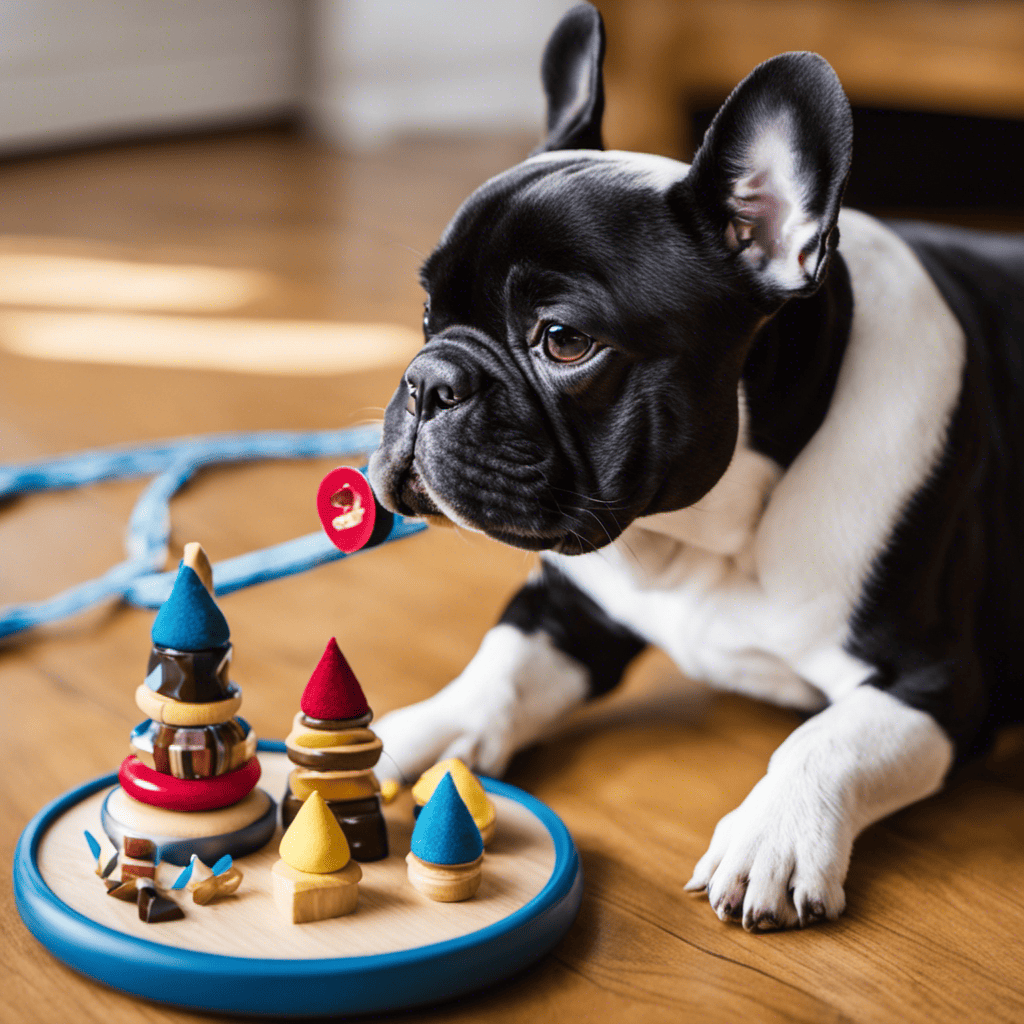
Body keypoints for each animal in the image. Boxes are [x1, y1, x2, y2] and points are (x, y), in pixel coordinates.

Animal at [368, 4, 1024, 933]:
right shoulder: (567, 604)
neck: (703, 532)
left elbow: (826, 737)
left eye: (563, 341)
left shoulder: (939, 682)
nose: (427, 381)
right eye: (429, 312)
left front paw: (774, 833)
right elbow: (500, 664)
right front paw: (420, 730)